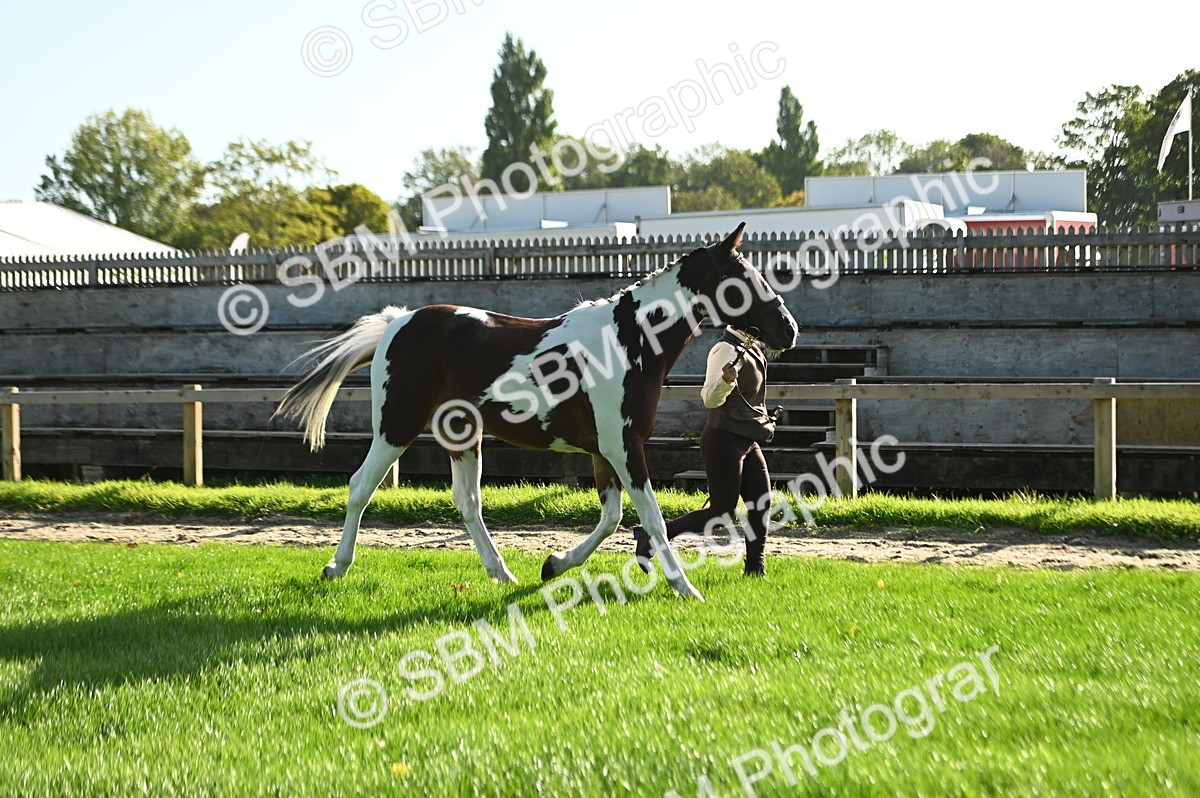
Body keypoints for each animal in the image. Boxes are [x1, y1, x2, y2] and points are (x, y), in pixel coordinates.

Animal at [275, 223, 798, 601]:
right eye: (745, 280)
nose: (788, 329)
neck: (628, 343)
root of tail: (397, 322)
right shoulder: (624, 446)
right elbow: (650, 517)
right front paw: (684, 588)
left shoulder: (604, 451)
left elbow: (611, 518)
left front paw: (554, 564)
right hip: (396, 427)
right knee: (360, 487)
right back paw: (336, 566)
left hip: (462, 435)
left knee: (468, 502)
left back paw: (502, 573)